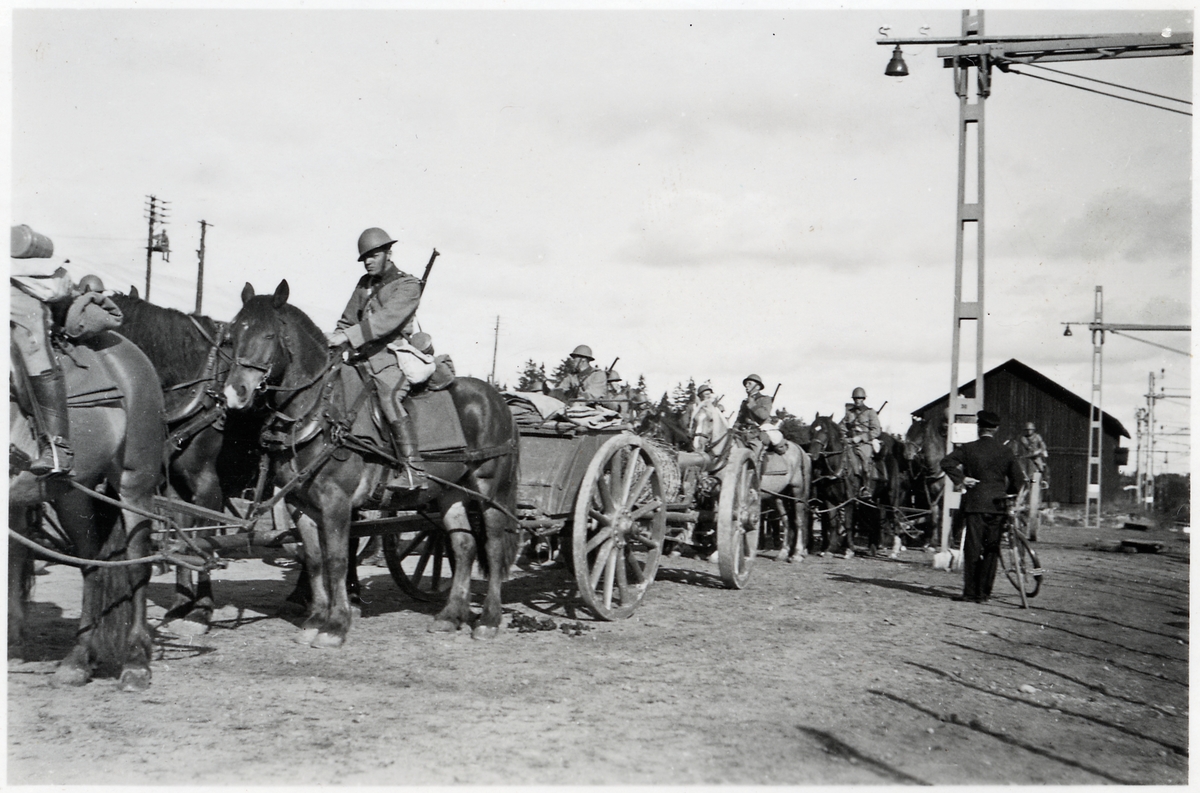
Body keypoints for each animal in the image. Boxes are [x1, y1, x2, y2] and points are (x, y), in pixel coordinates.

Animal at [9, 331, 165, 690]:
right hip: (71, 496)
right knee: (91, 563)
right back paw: (79, 657)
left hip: (135, 484)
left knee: (138, 565)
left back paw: (136, 661)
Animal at [109, 292, 267, 636]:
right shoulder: (174, 485)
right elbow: (181, 536)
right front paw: (181, 604)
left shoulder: (208, 484)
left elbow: (202, 540)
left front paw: (202, 611)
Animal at [221, 280, 520, 646]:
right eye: (232, 334)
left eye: (268, 335)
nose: (234, 393)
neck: (319, 408)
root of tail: (498, 400)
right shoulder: (298, 503)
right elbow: (315, 559)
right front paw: (315, 619)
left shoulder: (336, 501)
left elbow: (336, 559)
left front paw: (335, 625)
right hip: (450, 491)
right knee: (464, 546)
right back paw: (450, 616)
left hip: (490, 490)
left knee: (492, 547)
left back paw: (489, 619)